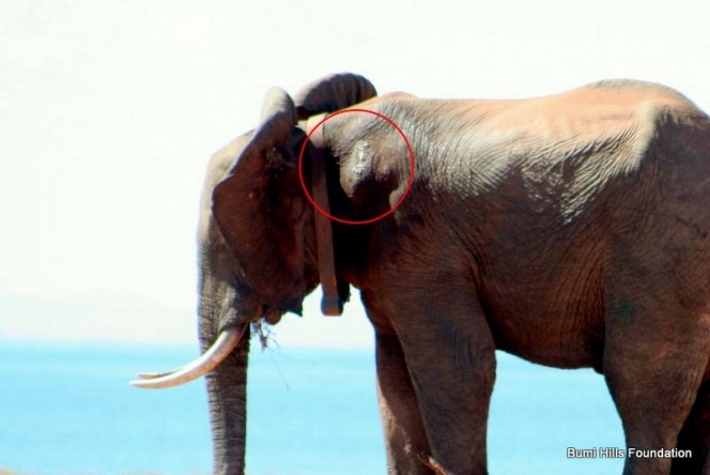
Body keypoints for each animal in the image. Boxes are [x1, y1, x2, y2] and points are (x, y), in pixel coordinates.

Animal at [132, 73, 710, 475]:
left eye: (229, 239)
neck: (326, 135)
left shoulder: (418, 240)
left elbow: (459, 367)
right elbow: (393, 381)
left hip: (660, 246)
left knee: (641, 384)